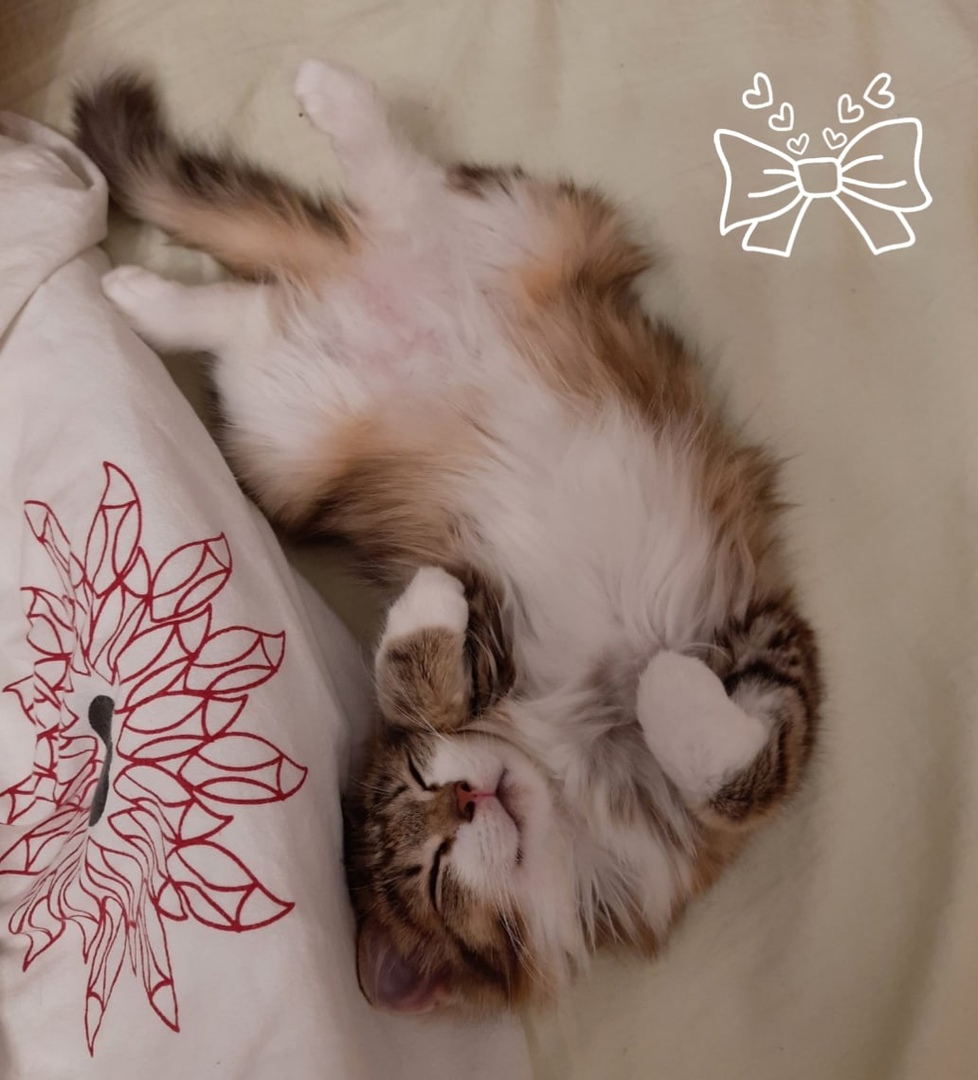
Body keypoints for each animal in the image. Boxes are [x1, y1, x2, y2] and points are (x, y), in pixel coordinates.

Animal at [73, 59, 822, 1015]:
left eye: (430, 789)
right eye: (433, 864)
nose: (468, 797)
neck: (566, 766)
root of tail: (364, 284)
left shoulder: (769, 650)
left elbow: (728, 772)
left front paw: (665, 685)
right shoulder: (491, 625)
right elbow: (415, 671)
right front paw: (427, 607)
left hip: (523, 224)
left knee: (398, 192)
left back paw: (331, 103)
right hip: (289, 436)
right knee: (250, 313)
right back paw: (137, 297)